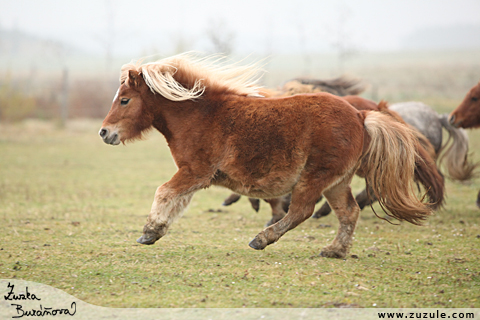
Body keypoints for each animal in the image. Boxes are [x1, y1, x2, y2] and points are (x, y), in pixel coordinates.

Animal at [100, 52, 432, 258]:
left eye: (125, 100)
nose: (104, 133)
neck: (200, 115)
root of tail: (361, 116)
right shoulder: (194, 176)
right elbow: (177, 201)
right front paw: (155, 232)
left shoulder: (194, 171)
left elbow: (164, 193)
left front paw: (148, 231)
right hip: (337, 182)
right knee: (348, 212)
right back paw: (335, 251)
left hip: (315, 178)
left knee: (301, 211)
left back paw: (261, 239)